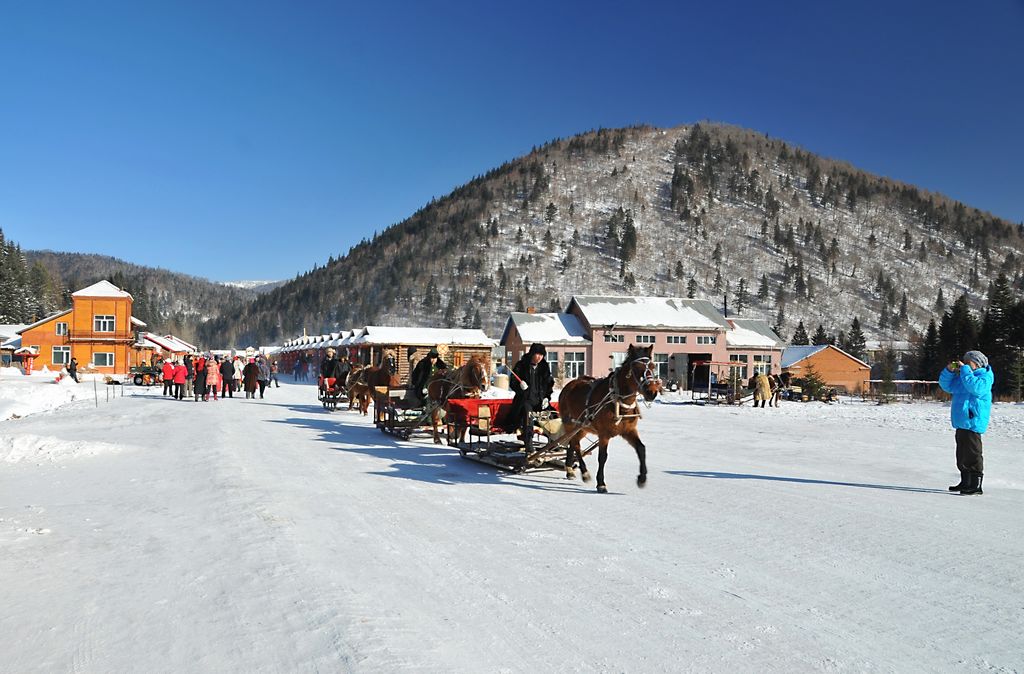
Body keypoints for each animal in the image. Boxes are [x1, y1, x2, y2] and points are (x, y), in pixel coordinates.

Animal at [557, 344, 659, 491]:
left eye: (652, 366)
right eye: (636, 368)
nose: (652, 392)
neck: (618, 402)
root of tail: (569, 386)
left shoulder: (628, 430)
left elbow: (641, 449)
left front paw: (642, 478)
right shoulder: (604, 434)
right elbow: (602, 457)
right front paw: (601, 483)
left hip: (582, 427)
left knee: (573, 443)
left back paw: (570, 470)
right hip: (570, 424)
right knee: (575, 444)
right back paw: (584, 472)